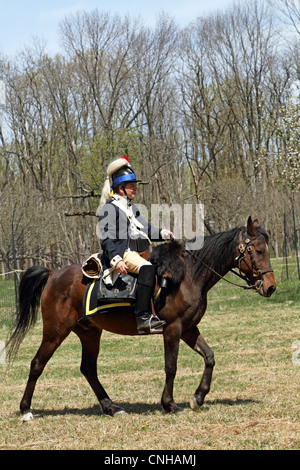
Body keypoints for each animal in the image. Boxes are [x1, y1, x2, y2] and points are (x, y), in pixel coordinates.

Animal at [5, 216, 276, 418]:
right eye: (258, 250)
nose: (271, 287)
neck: (188, 275)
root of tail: (53, 274)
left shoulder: (189, 329)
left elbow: (209, 357)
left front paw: (198, 397)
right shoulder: (173, 329)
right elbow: (171, 366)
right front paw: (170, 404)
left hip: (89, 332)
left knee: (88, 369)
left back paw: (111, 407)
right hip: (55, 331)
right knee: (37, 364)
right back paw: (26, 410)